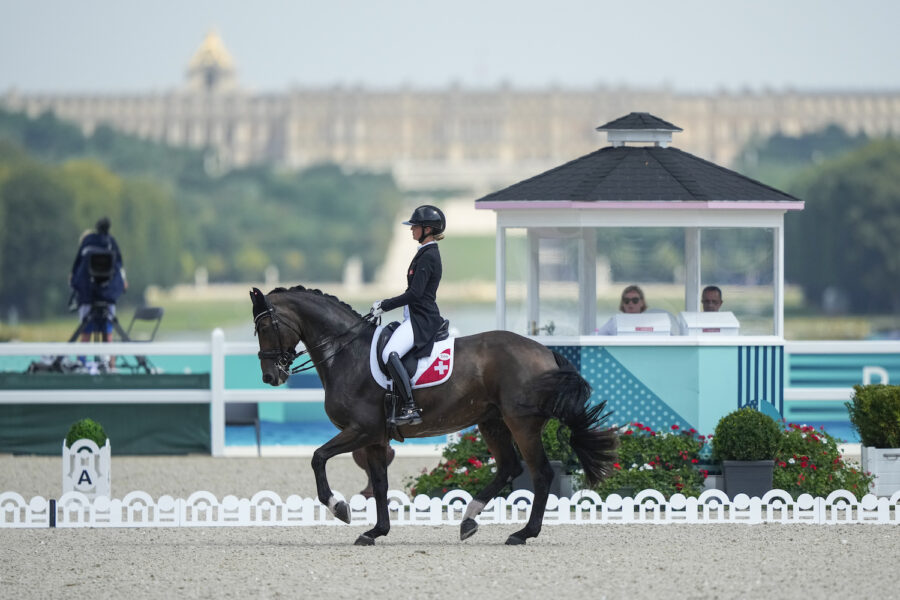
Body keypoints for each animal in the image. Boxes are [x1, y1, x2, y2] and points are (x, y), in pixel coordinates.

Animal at [251, 284, 620, 544]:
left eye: (267, 325)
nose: (270, 377)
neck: (347, 353)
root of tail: (546, 353)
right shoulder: (375, 438)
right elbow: (380, 484)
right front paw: (375, 531)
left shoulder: (361, 430)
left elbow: (318, 457)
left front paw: (339, 507)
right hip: (492, 422)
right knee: (509, 468)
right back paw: (469, 519)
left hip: (521, 424)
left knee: (540, 473)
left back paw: (521, 534)